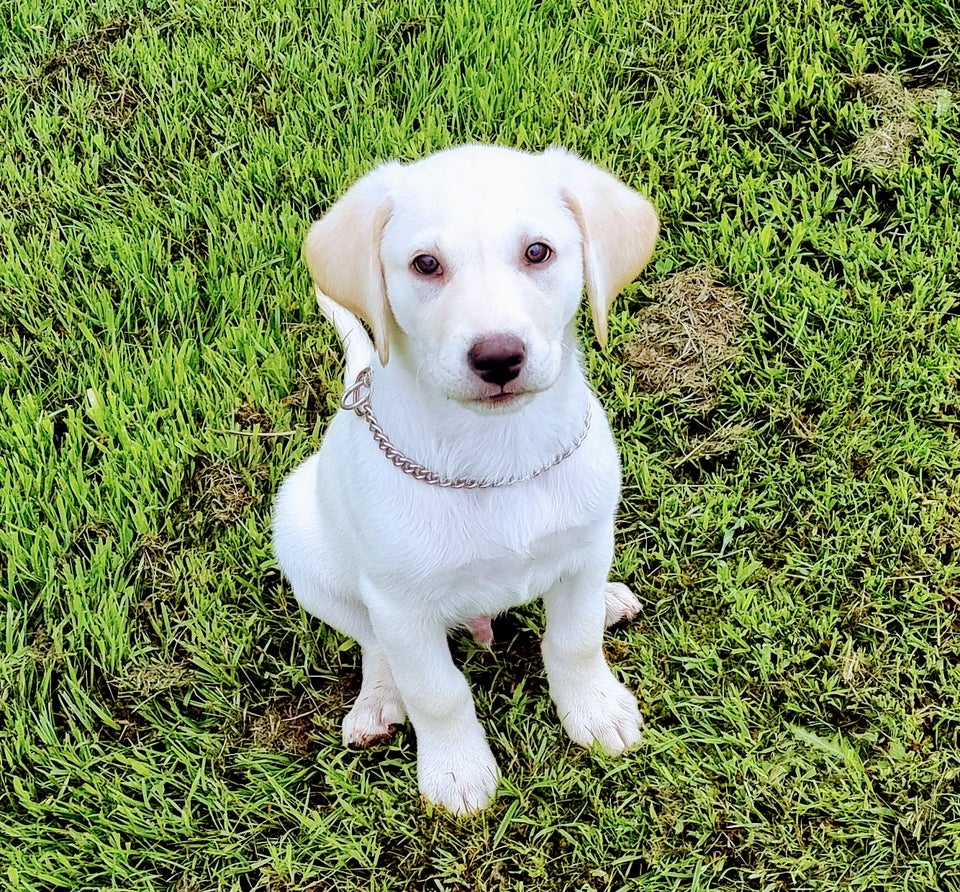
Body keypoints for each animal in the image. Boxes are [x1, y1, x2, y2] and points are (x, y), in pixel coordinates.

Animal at [274, 141, 656, 816]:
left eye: (538, 252)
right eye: (425, 264)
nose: (498, 357)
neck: (497, 459)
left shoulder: (588, 543)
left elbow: (574, 639)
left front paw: (595, 708)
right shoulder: (400, 604)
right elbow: (436, 690)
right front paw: (456, 771)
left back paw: (609, 600)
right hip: (305, 547)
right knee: (373, 644)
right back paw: (378, 700)